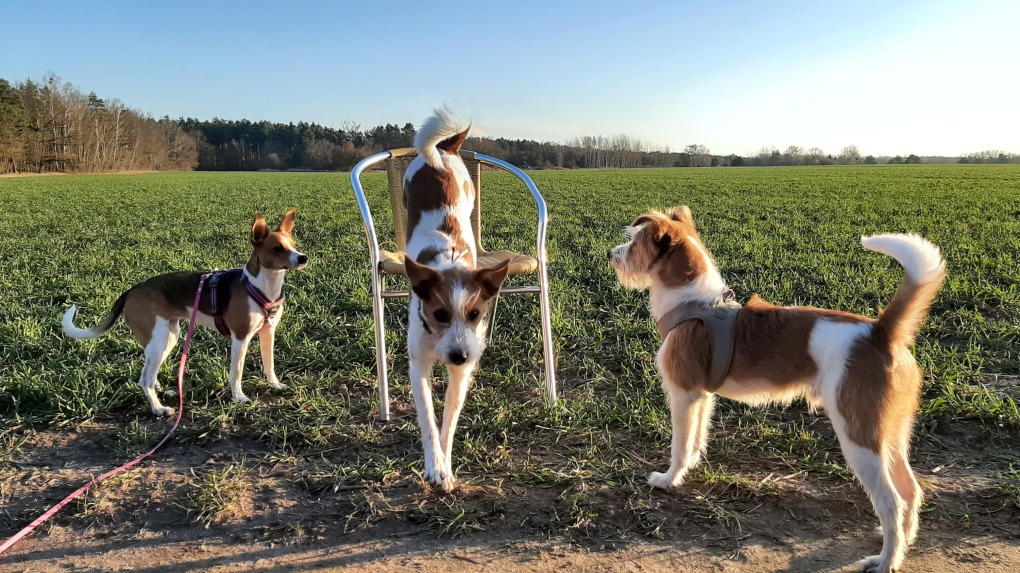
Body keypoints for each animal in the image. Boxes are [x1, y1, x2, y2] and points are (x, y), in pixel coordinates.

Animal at [63, 210, 306, 413]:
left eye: (293, 244)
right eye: (277, 248)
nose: (303, 257)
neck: (262, 285)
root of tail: (132, 290)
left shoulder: (268, 332)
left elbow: (269, 364)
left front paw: (275, 385)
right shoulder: (240, 338)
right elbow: (236, 372)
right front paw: (239, 397)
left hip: (168, 337)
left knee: (150, 372)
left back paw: (162, 392)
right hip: (158, 340)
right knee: (144, 379)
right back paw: (158, 409)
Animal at [399, 108, 507, 491]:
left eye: (475, 314)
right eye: (439, 314)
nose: (460, 355)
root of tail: (446, 149)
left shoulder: (462, 373)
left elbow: (449, 420)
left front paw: (445, 464)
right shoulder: (418, 366)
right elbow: (429, 421)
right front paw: (434, 466)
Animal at [603, 206, 946, 570]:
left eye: (634, 243)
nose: (610, 254)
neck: (694, 304)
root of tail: (879, 333)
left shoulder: (683, 395)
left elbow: (678, 445)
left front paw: (669, 479)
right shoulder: (701, 397)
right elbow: (695, 438)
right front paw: (691, 466)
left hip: (859, 435)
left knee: (890, 500)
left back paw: (885, 560)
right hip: (889, 431)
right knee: (910, 488)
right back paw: (904, 544)